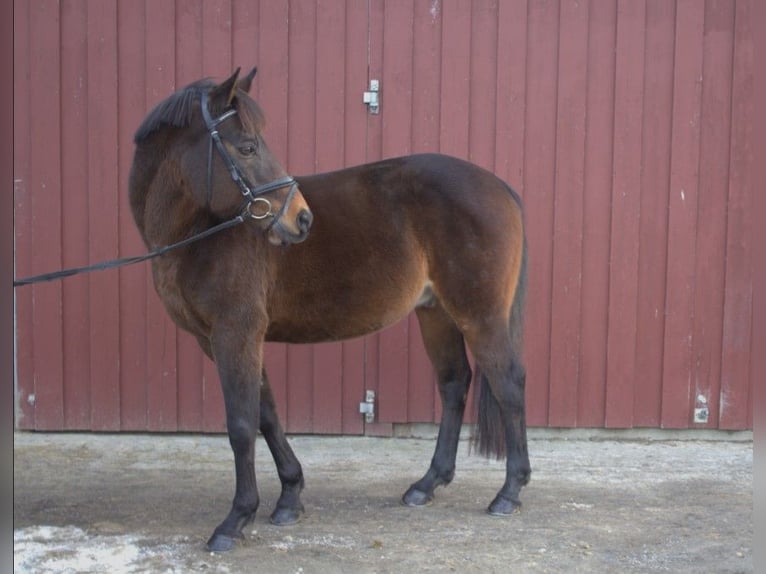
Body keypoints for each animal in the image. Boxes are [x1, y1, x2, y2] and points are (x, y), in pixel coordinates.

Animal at [129, 67, 532, 552]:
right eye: (247, 147)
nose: (301, 219)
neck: (202, 230)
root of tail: (500, 188)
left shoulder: (235, 333)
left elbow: (242, 424)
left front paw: (236, 518)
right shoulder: (224, 340)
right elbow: (267, 413)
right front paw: (289, 497)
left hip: (480, 315)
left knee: (508, 384)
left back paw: (509, 491)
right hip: (435, 313)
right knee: (455, 384)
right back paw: (427, 484)